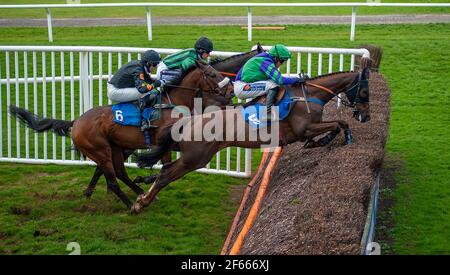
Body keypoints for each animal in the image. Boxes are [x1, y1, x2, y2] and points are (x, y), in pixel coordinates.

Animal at [8, 61, 234, 210]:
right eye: (212, 74)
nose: (230, 91)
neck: (171, 104)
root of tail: (77, 121)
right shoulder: (165, 141)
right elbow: (165, 165)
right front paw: (147, 179)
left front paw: (146, 181)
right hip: (101, 150)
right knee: (112, 179)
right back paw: (130, 204)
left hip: (114, 148)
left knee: (119, 173)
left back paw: (132, 193)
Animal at [129, 61, 370, 216]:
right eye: (365, 92)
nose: (366, 116)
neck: (308, 96)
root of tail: (189, 121)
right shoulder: (304, 129)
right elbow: (338, 125)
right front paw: (324, 140)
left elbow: (340, 123)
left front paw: (325, 140)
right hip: (195, 157)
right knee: (165, 175)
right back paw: (140, 203)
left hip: (193, 155)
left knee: (164, 167)